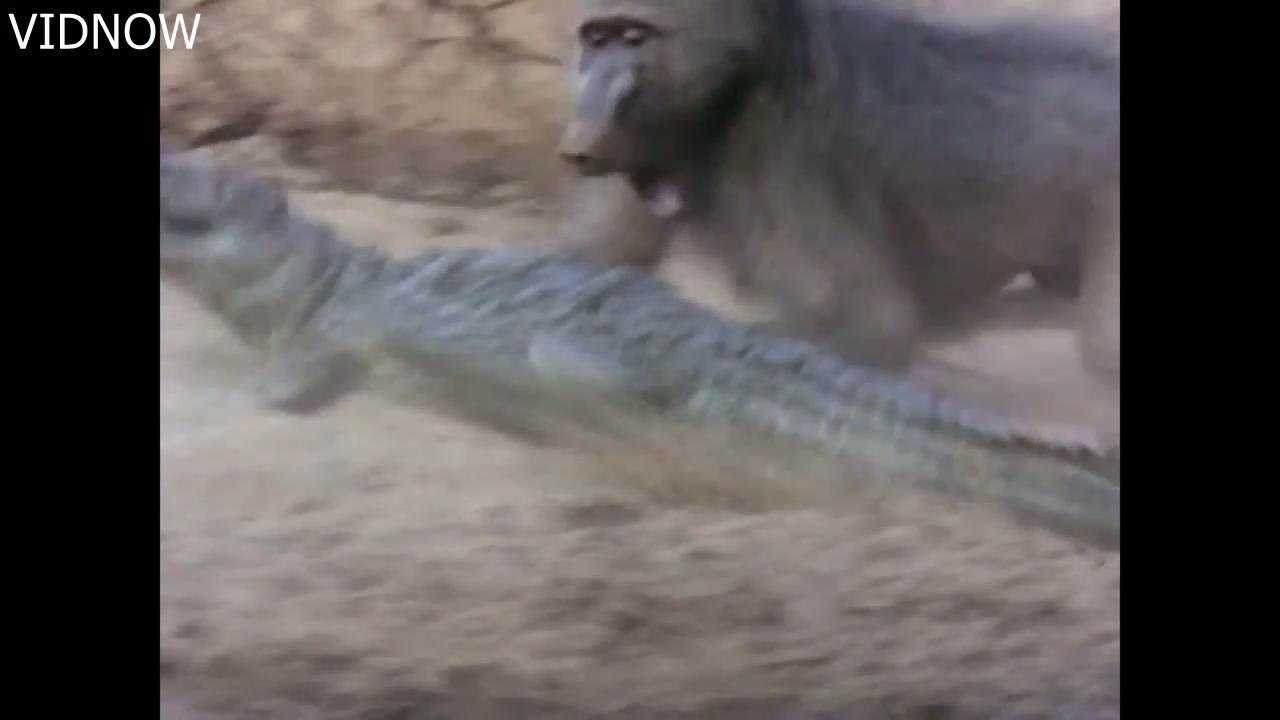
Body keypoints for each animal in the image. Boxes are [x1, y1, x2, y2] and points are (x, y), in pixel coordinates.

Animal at [554, 0, 1120, 383]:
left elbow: (874, 322)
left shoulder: (781, 142)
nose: (581, 135)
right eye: (597, 40)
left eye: (635, 37)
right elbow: (592, 257)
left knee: (1102, 346)